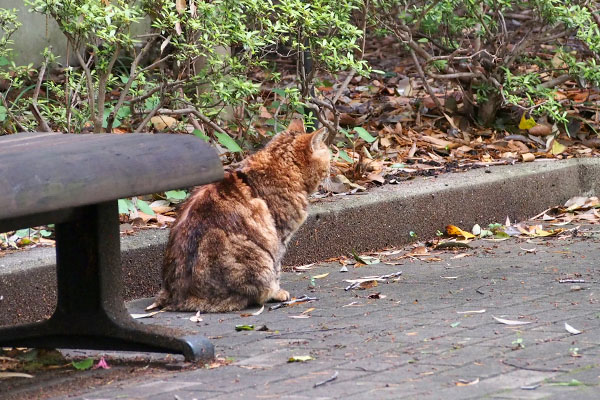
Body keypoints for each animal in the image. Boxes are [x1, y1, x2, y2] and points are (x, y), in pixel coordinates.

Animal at [152, 119, 330, 312]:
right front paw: (277, 291)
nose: (332, 169)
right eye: (328, 157)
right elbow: (277, 268)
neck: (279, 165)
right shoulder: (279, 235)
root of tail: (176, 298)